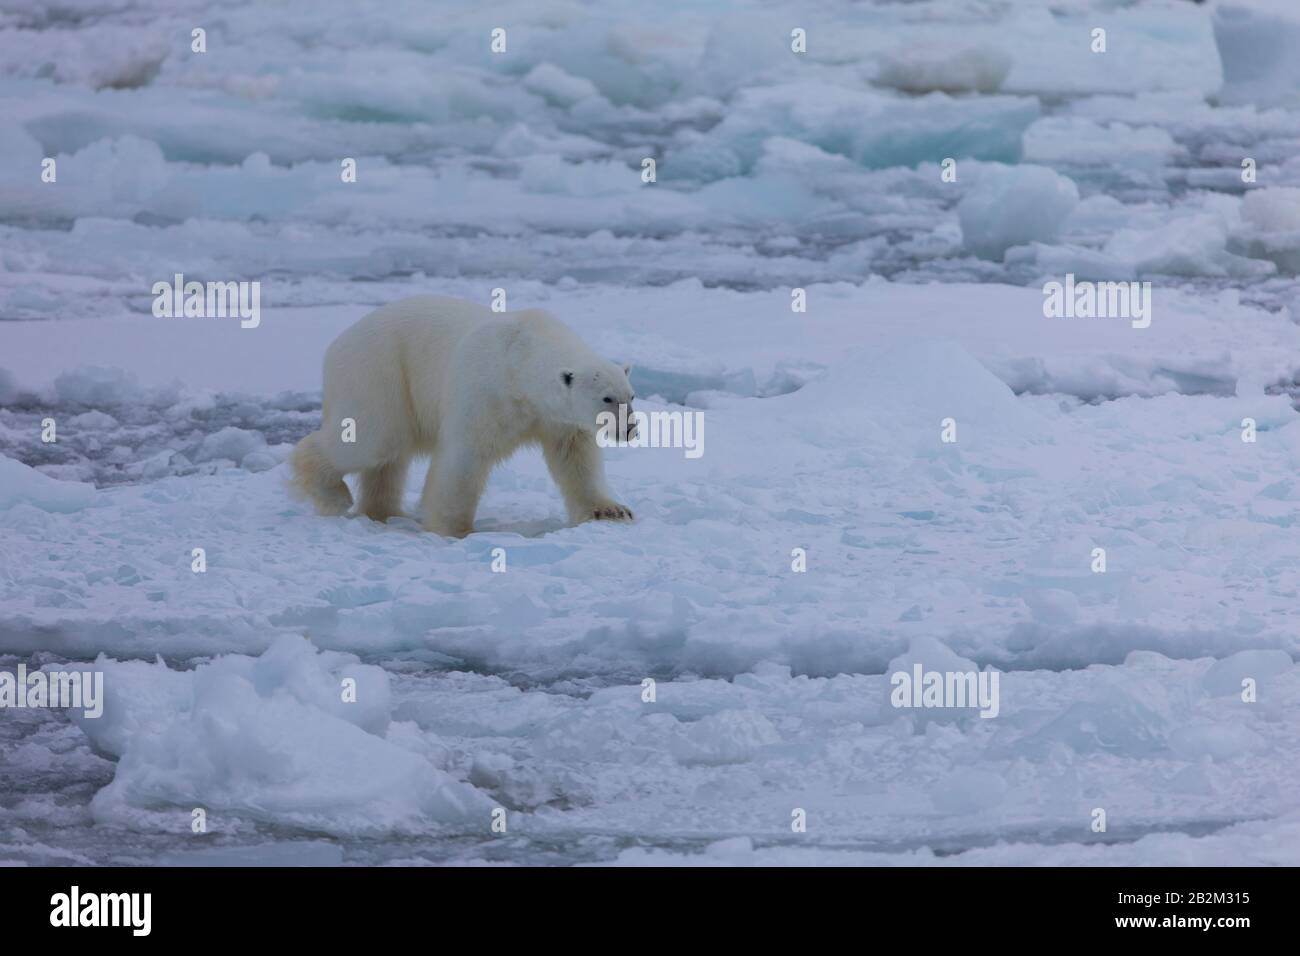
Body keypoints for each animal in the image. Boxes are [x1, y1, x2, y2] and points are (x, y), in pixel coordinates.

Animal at [293, 297, 639, 538]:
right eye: (607, 399)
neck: (520, 357)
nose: (629, 429)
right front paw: (455, 530)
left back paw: (384, 512)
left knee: (387, 459)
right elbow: (465, 457)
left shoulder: (556, 419)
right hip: (380, 372)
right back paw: (333, 494)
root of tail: (336, 345)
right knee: (371, 439)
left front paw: (610, 512)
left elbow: (576, 459)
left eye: (631, 396)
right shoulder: (486, 392)